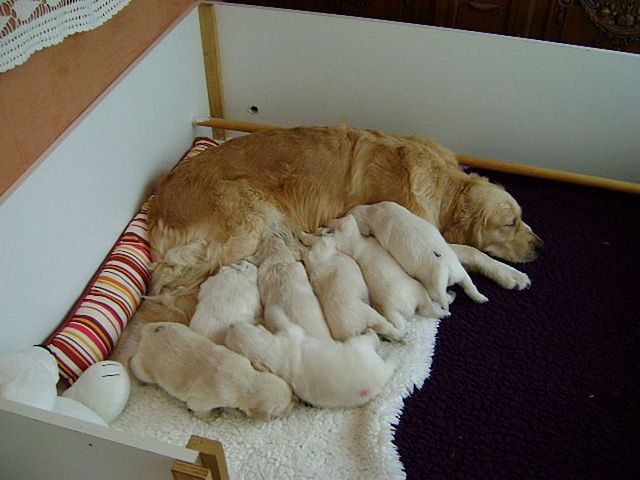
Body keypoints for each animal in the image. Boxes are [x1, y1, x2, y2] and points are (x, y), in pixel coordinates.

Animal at [129, 322, 295, 419]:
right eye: (282, 409)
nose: (294, 405)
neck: (247, 380)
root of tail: (146, 330)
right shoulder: (200, 402)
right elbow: (202, 412)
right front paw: (212, 418)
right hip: (143, 369)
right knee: (133, 362)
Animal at [223, 306, 396, 408]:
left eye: (241, 325)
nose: (229, 325)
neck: (270, 351)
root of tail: (379, 379)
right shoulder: (291, 332)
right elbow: (280, 318)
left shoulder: (289, 333)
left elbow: (278, 318)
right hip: (359, 347)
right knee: (372, 341)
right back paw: (375, 337)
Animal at [350, 201, 488, 311]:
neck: (373, 211)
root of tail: (444, 267)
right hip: (460, 271)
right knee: (469, 285)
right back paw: (480, 298)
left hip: (431, 286)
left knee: (444, 297)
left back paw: (451, 295)